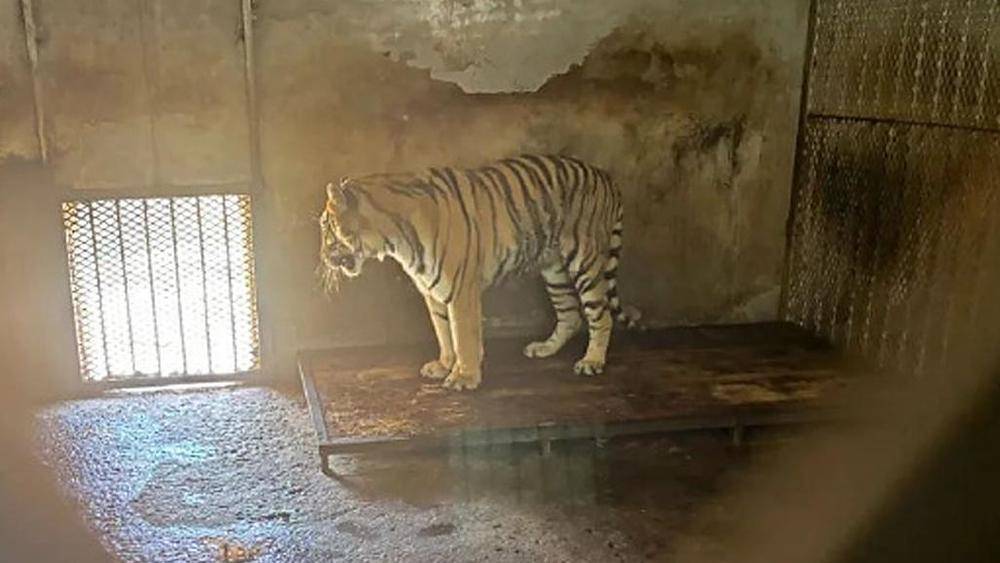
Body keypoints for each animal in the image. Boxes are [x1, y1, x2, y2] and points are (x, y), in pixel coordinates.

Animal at [318, 154, 639, 391]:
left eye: (325, 227)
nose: (322, 257)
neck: (392, 238)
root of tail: (605, 175)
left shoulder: (461, 288)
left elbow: (463, 334)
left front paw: (464, 377)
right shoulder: (431, 290)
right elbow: (443, 331)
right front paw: (444, 365)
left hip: (585, 262)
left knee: (600, 314)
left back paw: (592, 361)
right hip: (554, 270)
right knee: (570, 315)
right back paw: (544, 348)